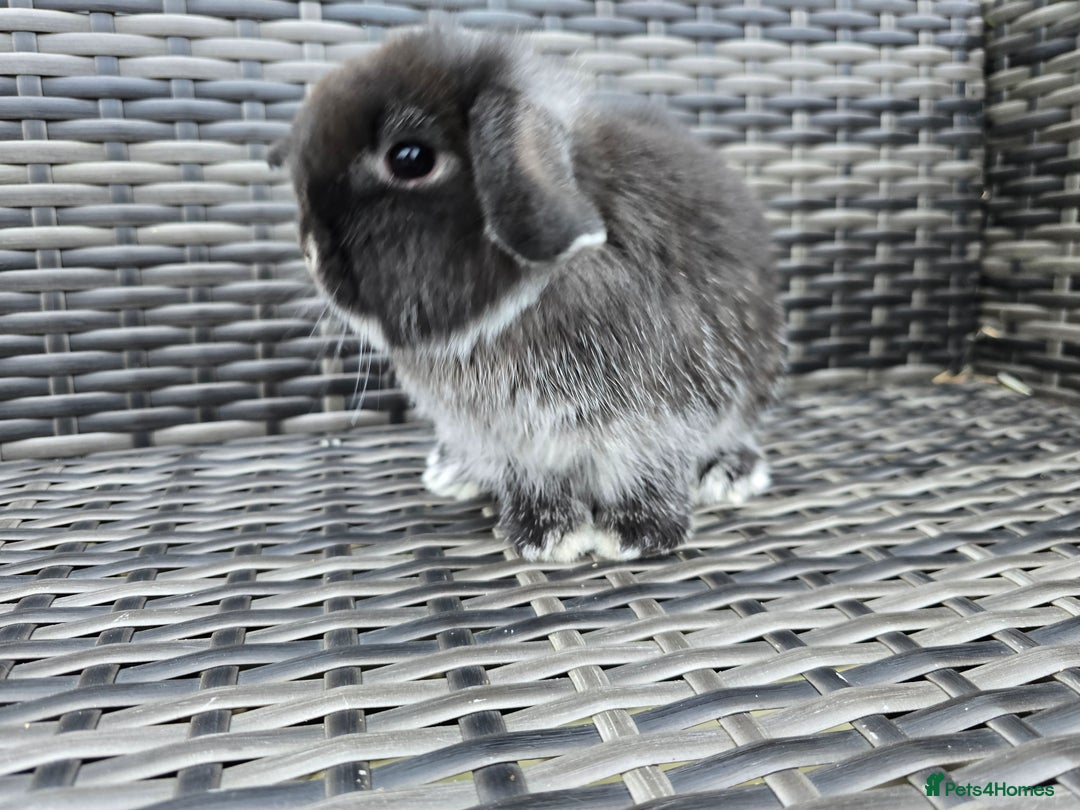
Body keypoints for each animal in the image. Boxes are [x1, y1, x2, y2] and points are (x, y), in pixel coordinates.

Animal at [271, 27, 785, 563]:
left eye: (409, 159)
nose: (310, 252)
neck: (524, 300)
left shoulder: (659, 419)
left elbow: (647, 473)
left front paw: (634, 534)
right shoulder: (513, 443)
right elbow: (535, 483)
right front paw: (546, 536)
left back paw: (730, 474)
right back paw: (452, 470)